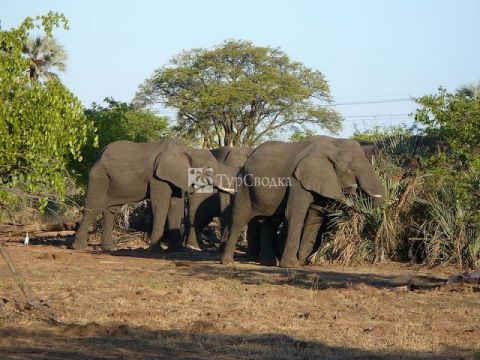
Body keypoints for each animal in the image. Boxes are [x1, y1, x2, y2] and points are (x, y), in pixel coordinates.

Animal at [71, 139, 236, 252]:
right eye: (208, 168)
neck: (187, 149)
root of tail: (99, 154)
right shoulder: (158, 176)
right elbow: (161, 204)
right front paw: (156, 250)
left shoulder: (174, 176)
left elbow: (176, 205)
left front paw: (177, 251)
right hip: (99, 176)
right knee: (94, 207)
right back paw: (78, 247)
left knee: (111, 210)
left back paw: (110, 248)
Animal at [222, 136, 386, 268]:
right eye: (353, 170)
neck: (333, 146)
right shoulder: (297, 181)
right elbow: (295, 214)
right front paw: (292, 265)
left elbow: (315, 215)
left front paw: (303, 262)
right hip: (244, 184)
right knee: (239, 218)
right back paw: (228, 262)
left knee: (272, 221)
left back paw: (269, 263)